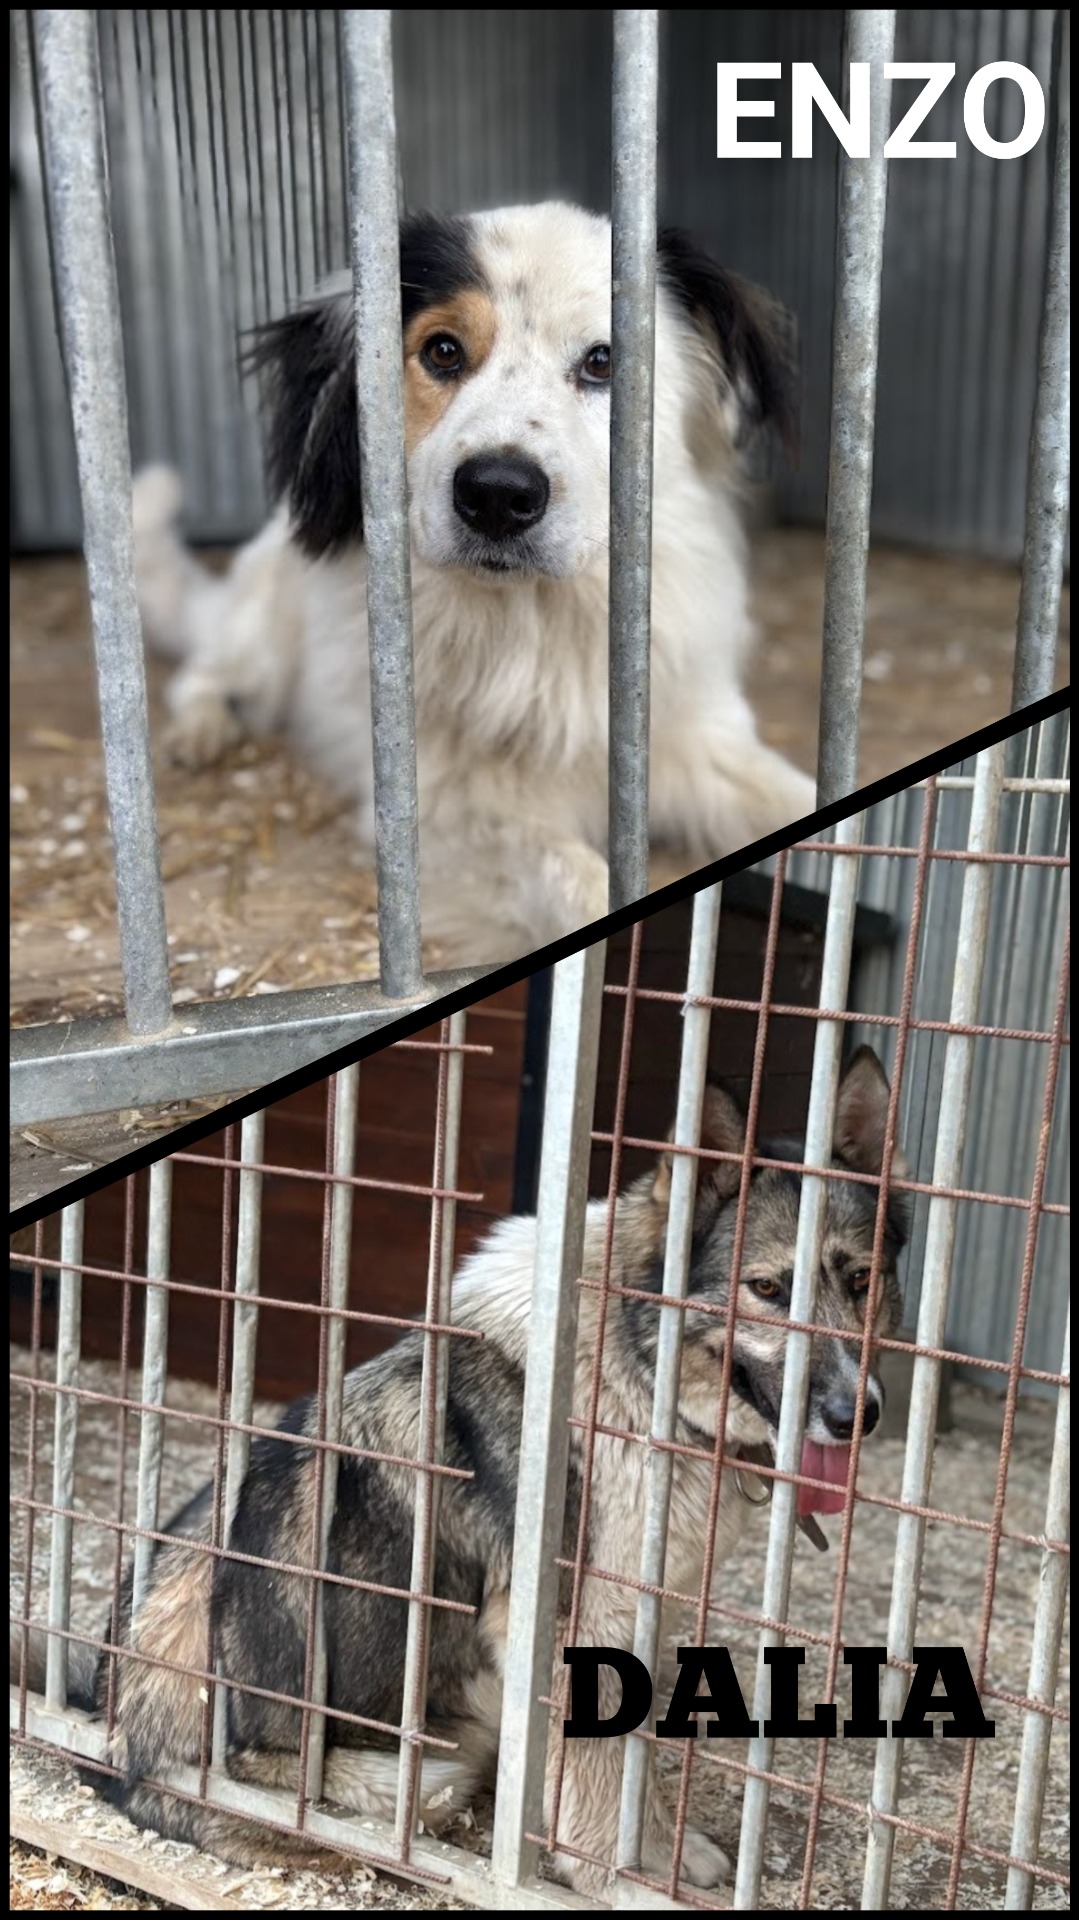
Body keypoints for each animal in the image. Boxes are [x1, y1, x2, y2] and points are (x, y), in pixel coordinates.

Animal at [13, 1048, 906, 1901]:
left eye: (861, 1281)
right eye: (766, 1289)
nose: (855, 1414)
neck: (632, 1357)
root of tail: (107, 1735)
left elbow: (629, 1762)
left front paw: (650, 1850)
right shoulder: (570, 1622)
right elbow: (598, 1774)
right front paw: (618, 1876)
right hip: (388, 1761)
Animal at [131, 201, 817, 964]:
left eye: (603, 361)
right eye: (442, 351)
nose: (496, 493)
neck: (536, 629)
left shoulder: (697, 740)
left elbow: (805, 804)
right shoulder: (443, 816)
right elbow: (578, 880)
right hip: (260, 633)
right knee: (205, 675)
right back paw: (199, 732)